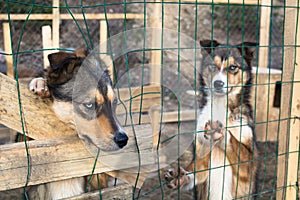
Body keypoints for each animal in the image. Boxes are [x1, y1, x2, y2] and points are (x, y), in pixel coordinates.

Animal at [165, 39, 258, 199]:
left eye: (233, 67)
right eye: (213, 66)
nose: (218, 83)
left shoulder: (249, 165)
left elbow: (235, 142)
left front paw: (219, 133)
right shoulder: (201, 155)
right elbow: (195, 171)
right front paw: (182, 177)